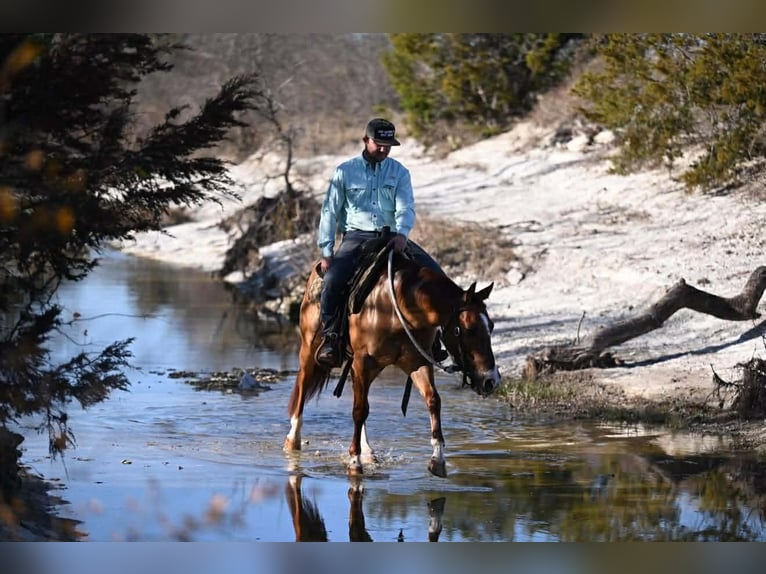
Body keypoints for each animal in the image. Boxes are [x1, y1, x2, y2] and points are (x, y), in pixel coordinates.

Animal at [284, 246, 501, 477]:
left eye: (491, 326)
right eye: (468, 329)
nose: (491, 380)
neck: (401, 306)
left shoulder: (416, 362)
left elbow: (433, 400)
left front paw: (438, 459)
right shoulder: (363, 361)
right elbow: (359, 410)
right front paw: (354, 462)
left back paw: (368, 451)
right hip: (311, 349)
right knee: (304, 385)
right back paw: (293, 440)